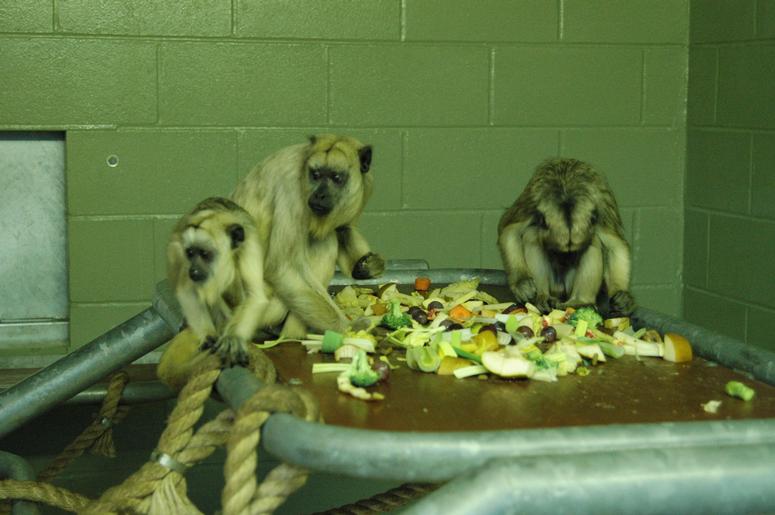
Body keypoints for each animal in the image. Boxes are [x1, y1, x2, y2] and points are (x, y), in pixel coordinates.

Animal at [166, 197, 286, 365]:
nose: (193, 271)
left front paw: (233, 337)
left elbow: (255, 295)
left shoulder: (249, 243)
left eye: (204, 254)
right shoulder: (179, 252)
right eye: (190, 253)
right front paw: (208, 335)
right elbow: (187, 290)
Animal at [231, 134, 385, 339]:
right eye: (316, 175)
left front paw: (371, 266)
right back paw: (293, 334)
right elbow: (284, 268)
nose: (319, 195)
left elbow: (343, 228)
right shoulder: (292, 189)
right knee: (324, 243)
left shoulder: (366, 183)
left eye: (336, 178)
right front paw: (350, 329)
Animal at [497, 158, 635, 317]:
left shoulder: (602, 201)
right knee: (531, 235)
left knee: (593, 241)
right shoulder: (532, 197)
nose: (565, 262)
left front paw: (624, 297)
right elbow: (509, 230)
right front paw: (521, 283)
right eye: (556, 251)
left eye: (573, 252)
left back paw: (580, 301)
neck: (566, 187)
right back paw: (542, 297)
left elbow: (616, 245)